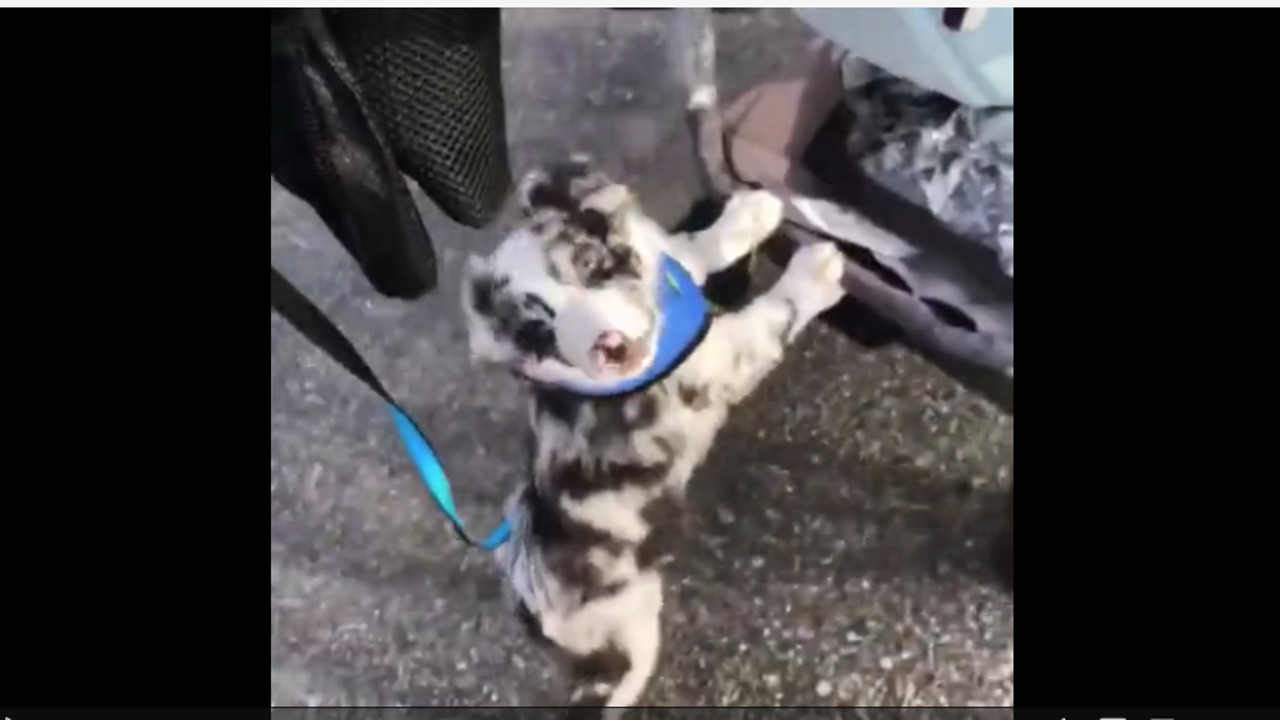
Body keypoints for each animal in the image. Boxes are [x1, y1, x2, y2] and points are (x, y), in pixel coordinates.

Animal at [463, 158, 849, 712]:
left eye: (588, 261)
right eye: (538, 332)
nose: (608, 350)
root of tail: (527, 610)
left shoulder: (678, 274)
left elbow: (690, 247)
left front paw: (750, 212)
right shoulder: (721, 359)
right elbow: (771, 315)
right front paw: (814, 272)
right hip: (631, 627)